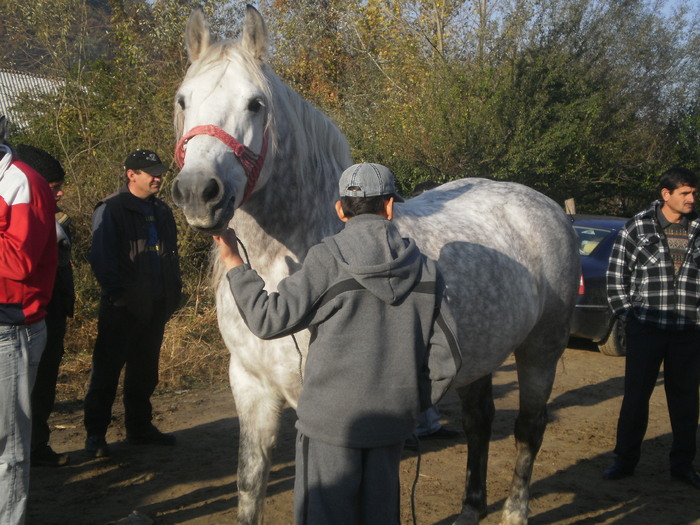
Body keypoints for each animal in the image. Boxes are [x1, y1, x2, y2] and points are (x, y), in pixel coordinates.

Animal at [171, 5, 580, 524]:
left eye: (255, 104)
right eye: (183, 100)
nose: (198, 192)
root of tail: (549, 209)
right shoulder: (251, 386)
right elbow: (249, 484)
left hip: (540, 349)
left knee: (529, 428)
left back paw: (515, 512)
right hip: (480, 354)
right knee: (479, 422)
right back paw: (470, 509)